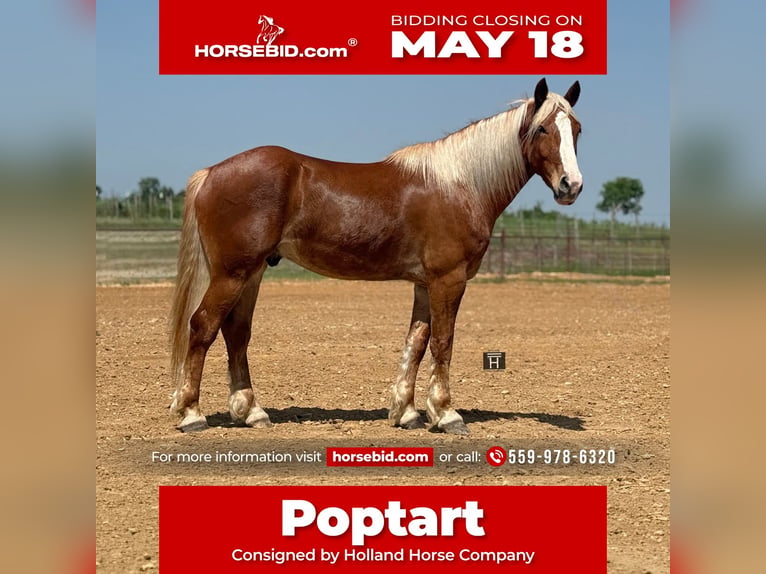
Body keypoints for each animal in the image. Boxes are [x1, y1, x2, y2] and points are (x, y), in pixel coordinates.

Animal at [169, 78, 583, 435]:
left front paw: (407, 412)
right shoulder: (448, 279)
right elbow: (443, 342)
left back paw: (252, 412)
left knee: (236, 332)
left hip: (252, 273)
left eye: (576, 129)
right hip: (232, 273)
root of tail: (210, 173)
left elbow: (416, 343)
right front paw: (446, 413)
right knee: (202, 326)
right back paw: (191, 413)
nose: (572, 186)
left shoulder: (424, 284)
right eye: (543, 130)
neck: (461, 184)